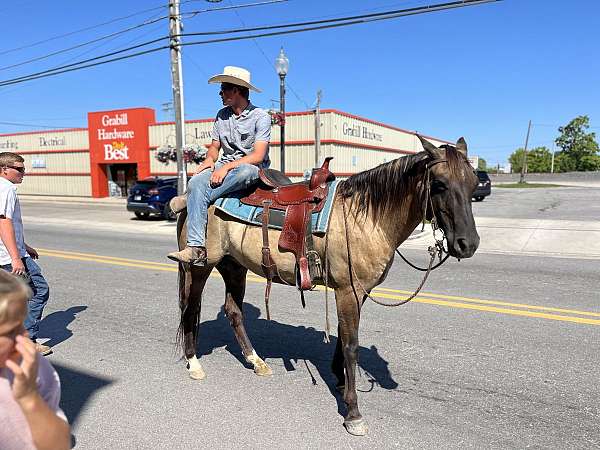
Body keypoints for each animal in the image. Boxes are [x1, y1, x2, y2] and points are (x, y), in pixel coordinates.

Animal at [172, 134, 478, 436]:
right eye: (439, 184)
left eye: (474, 184)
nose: (468, 244)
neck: (364, 219)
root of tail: (188, 199)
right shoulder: (348, 290)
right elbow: (352, 344)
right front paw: (353, 412)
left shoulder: (357, 292)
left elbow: (343, 336)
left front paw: (340, 380)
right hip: (201, 265)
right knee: (191, 308)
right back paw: (194, 362)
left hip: (234, 266)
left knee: (234, 311)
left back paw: (256, 361)